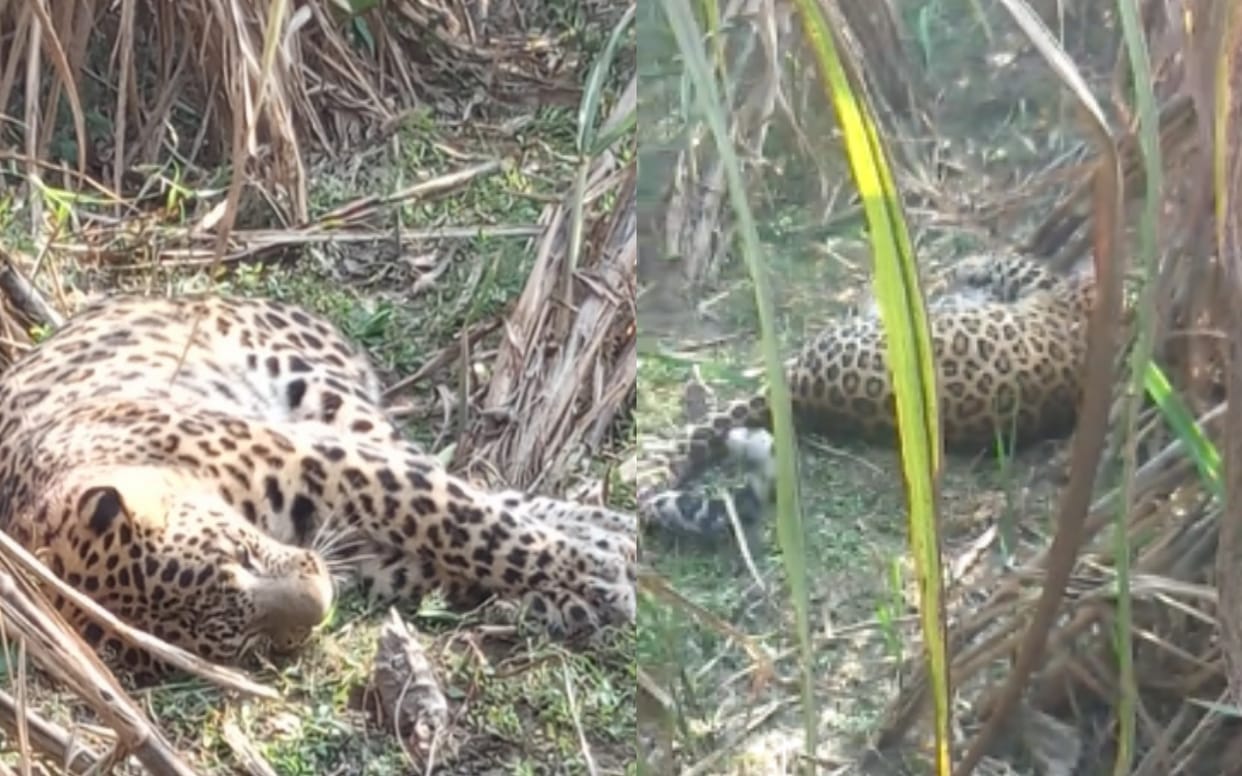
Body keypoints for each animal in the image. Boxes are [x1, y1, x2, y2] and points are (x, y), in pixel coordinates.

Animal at [0, 294, 636, 678]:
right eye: (246, 644)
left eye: (241, 557)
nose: (323, 600)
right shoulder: (365, 552)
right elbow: (459, 554)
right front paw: (573, 590)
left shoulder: (322, 462)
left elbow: (465, 526)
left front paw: (594, 579)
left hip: (325, 396)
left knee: (461, 482)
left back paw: (610, 532)